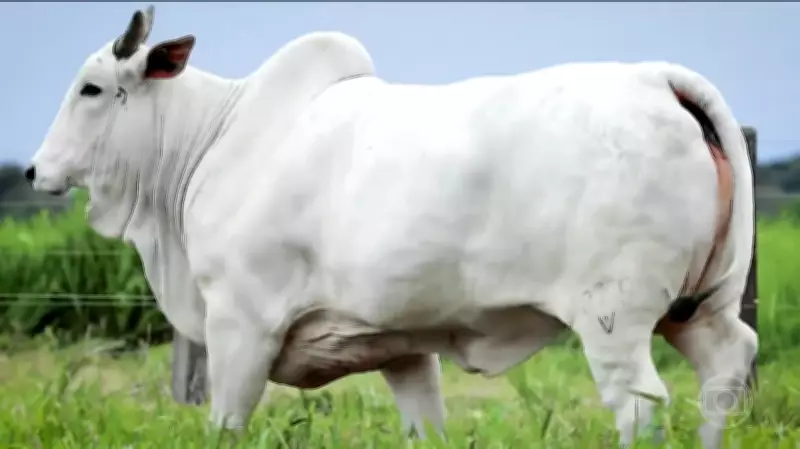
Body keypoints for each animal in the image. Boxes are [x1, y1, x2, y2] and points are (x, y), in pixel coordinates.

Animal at [26, 5, 756, 449]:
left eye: (92, 88)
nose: (34, 169)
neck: (212, 141)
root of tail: (658, 80)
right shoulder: (403, 346)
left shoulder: (241, 326)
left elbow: (226, 425)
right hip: (702, 308)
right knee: (725, 368)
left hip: (614, 320)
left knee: (640, 403)